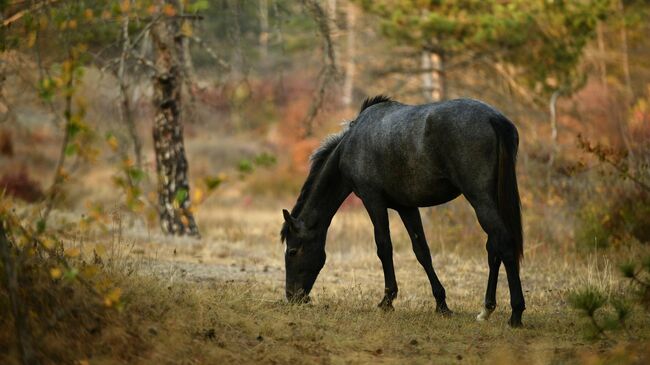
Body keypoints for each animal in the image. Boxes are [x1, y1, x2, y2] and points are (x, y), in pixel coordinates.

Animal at [280, 95, 524, 326]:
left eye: (292, 251)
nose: (292, 297)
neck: (351, 144)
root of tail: (494, 118)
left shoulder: (373, 200)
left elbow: (384, 247)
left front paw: (387, 301)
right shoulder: (407, 207)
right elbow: (422, 251)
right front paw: (441, 304)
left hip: (479, 198)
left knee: (504, 243)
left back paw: (516, 314)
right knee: (493, 247)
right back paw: (486, 310)